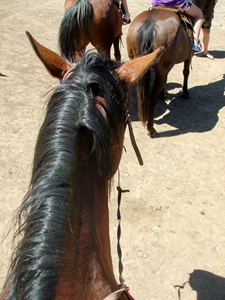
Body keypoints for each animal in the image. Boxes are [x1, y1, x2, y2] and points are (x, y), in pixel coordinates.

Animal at [126, 7, 193, 137]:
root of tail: (149, 25)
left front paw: (164, 94)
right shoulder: (189, 56)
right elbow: (186, 72)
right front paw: (185, 92)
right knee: (153, 98)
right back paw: (151, 129)